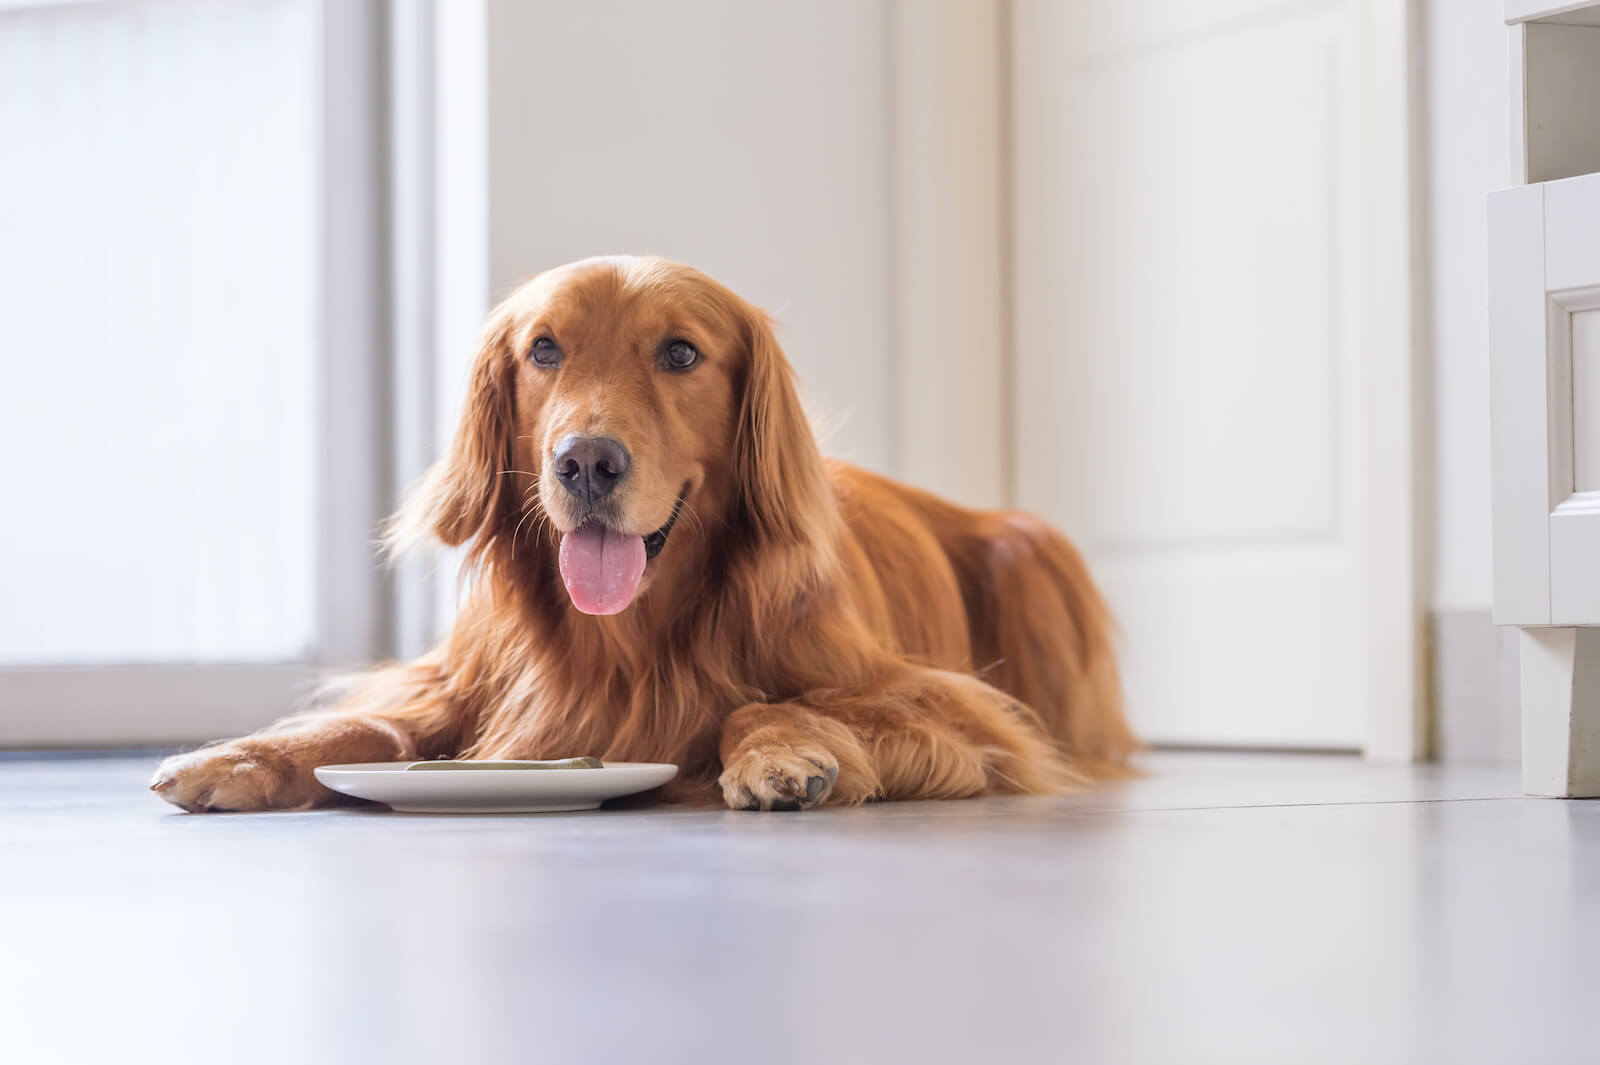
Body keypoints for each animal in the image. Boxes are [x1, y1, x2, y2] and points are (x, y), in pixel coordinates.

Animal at [147, 255, 1126, 805]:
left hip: (1037, 551)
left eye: (681, 352)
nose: (586, 462)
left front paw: (781, 754)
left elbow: (766, 699)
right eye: (544, 349)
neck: (629, 637)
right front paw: (243, 755)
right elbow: (376, 726)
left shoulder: (958, 711)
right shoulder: (459, 686)